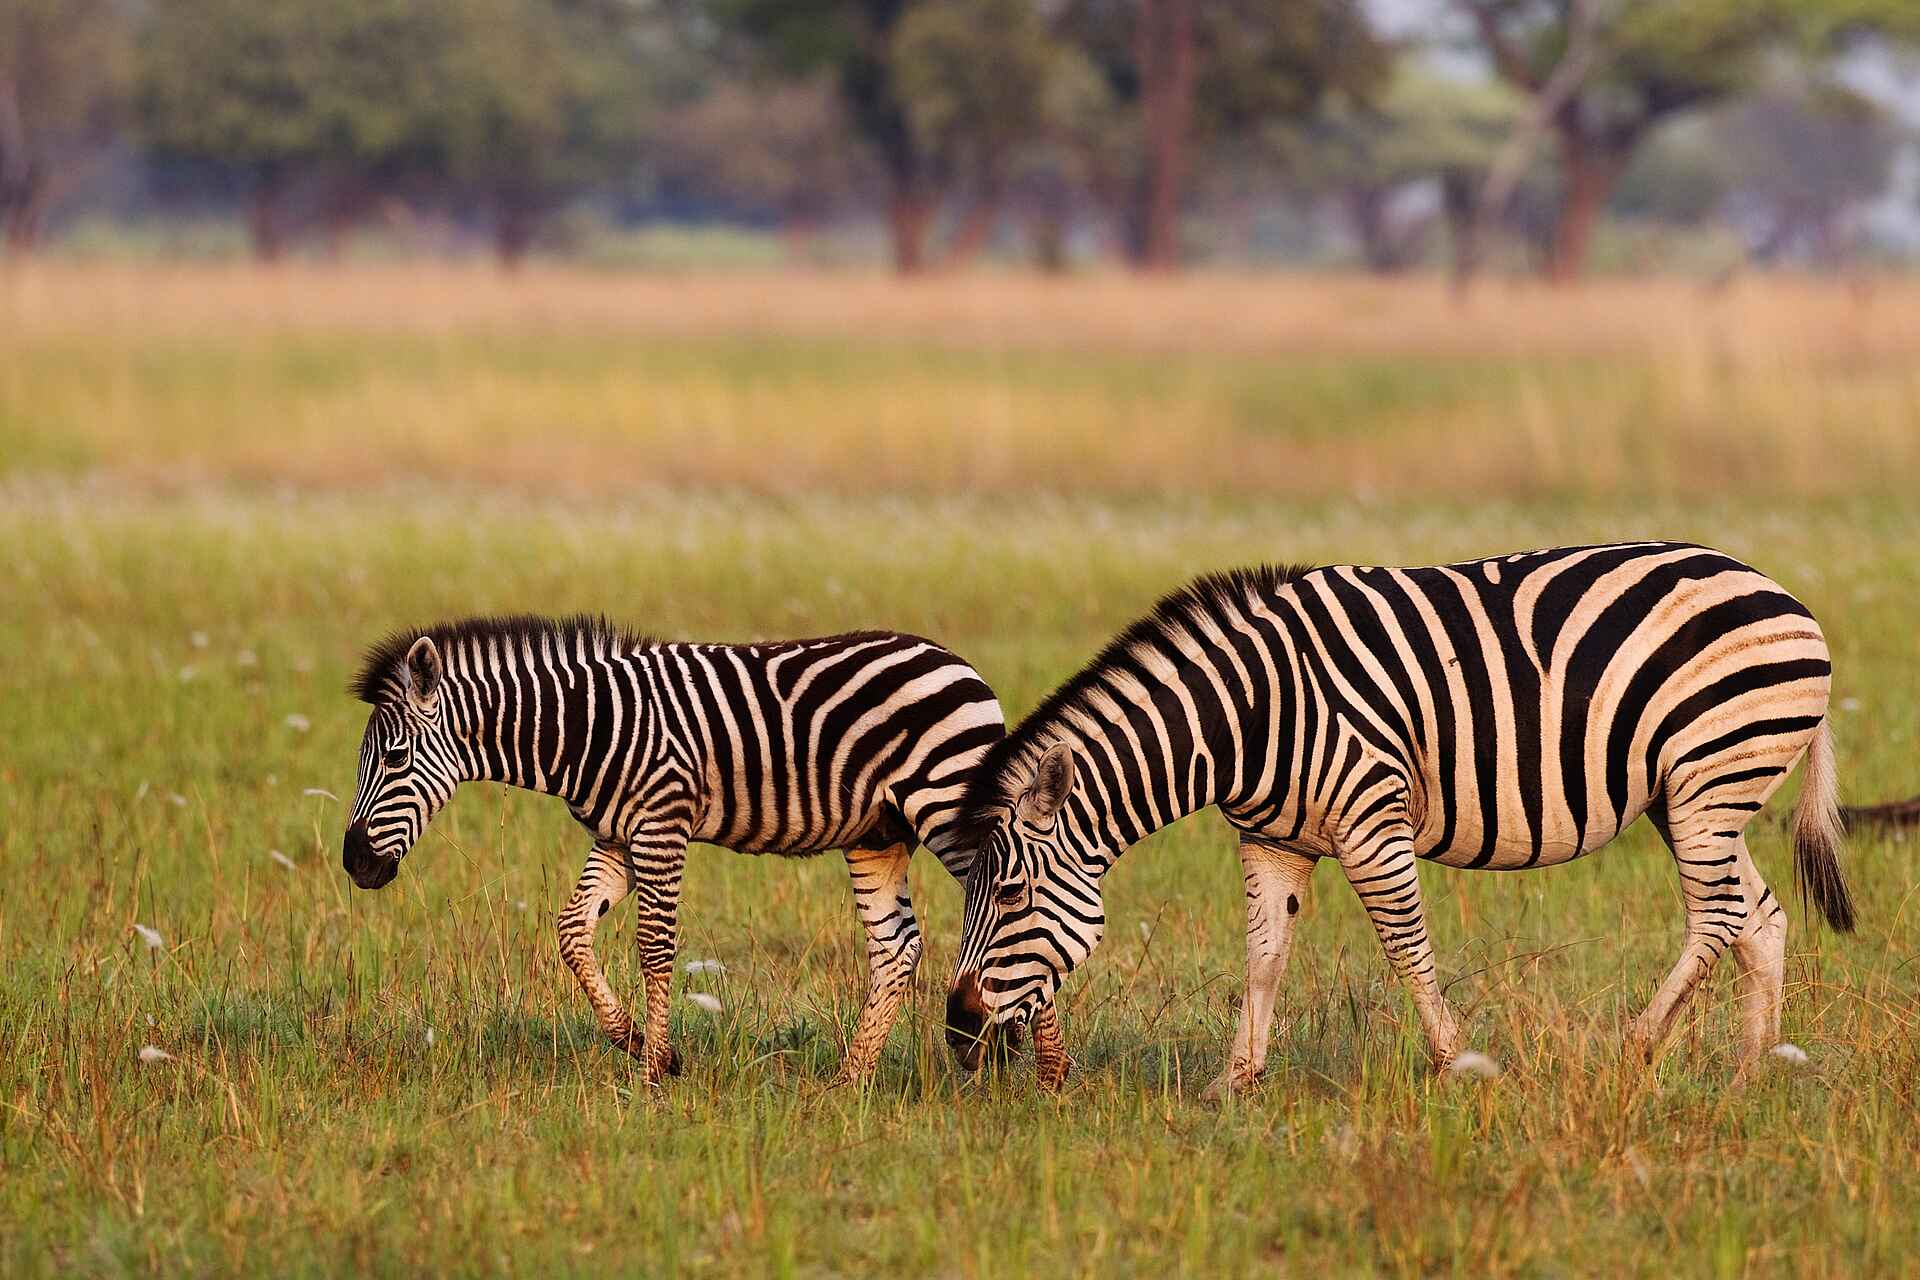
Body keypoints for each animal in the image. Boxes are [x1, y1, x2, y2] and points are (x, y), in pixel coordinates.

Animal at [341, 614, 1044, 1085]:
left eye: (396, 759)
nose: (355, 864)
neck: (586, 728)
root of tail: (957, 661)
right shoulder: (617, 836)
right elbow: (572, 930)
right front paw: (638, 1043)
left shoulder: (661, 823)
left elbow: (655, 948)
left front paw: (653, 1070)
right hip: (878, 834)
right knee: (896, 946)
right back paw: (854, 1079)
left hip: (948, 806)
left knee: (1026, 895)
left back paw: (1046, 1070)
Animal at [943, 542, 1854, 1097]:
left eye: (1014, 896)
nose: (957, 1030)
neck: (1251, 713)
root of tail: (1785, 595)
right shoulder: (1272, 839)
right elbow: (1264, 957)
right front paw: (1235, 1081)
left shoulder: (1370, 819)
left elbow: (1407, 950)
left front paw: (1460, 1066)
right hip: (1694, 795)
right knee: (1760, 917)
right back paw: (1749, 1076)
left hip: (1709, 778)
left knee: (1719, 915)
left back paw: (1636, 1045)